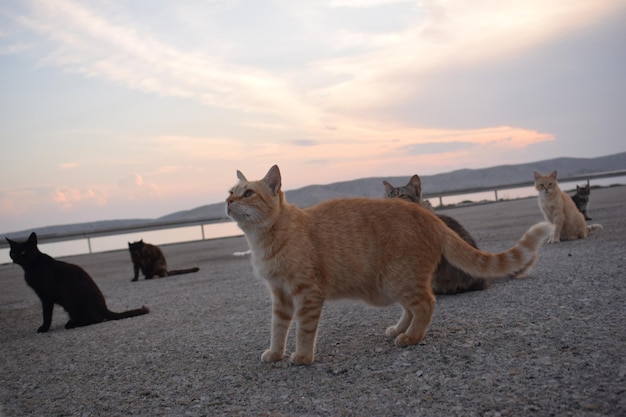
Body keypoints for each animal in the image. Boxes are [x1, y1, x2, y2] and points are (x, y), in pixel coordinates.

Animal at [6, 231, 149, 332]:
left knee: (96, 319)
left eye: (23, 252)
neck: (31, 267)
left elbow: (46, 314)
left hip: (73, 304)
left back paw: (72, 324)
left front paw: (44, 328)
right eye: (12, 252)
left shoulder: (46, 297)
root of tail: (104, 308)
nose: (16, 257)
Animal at [228, 166, 552, 364]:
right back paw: (399, 330)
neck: (265, 239)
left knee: (426, 303)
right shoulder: (280, 296)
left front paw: (303, 356)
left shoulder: (307, 294)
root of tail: (427, 215)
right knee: (411, 307)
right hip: (394, 281)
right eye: (231, 191)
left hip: (399, 279)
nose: (228, 202)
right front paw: (275, 353)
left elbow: (304, 330)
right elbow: (278, 328)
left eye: (248, 193)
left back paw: (412, 337)